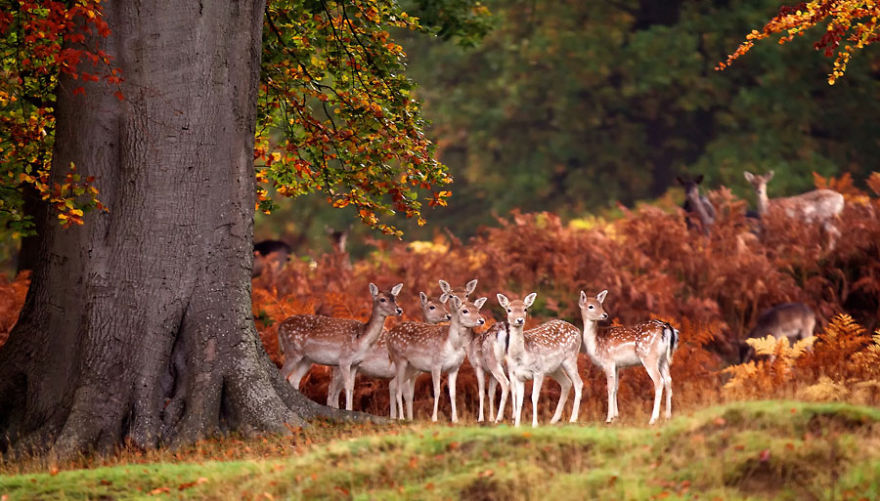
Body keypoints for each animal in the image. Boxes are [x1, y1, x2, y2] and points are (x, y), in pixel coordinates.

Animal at [276, 282, 404, 410]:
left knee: (294, 379)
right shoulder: (344, 359)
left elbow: (352, 387)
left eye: (395, 298)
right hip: (293, 351)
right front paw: (348, 409)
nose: (399, 310)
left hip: (307, 359)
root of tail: (280, 327)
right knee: (283, 374)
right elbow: (347, 386)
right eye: (382, 299)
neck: (361, 340)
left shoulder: (355, 363)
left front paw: (350, 409)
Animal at [326, 292, 454, 416]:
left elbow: (405, 393)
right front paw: (404, 418)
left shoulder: (412, 375)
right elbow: (406, 394)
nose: (448, 315)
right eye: (432, 307)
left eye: (444, 305)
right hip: (340, 366)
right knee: (332, 390)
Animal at [502, 292, 584, 426]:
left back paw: (573, 419)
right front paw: (517, 425)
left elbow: (534, 397)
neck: (521, 357)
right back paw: (554, 419)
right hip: (554, 368)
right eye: (509, 309)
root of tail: (577, 330)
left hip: (570, 358)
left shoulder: (538, 371)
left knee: (578, 383)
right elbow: (519, 400)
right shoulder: (517, 375)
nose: (520, 320)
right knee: (567, 383)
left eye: (525, 309)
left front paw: (535, 424)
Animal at [584, 292, 680, 424]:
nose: (604, 315)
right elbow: (616, 387)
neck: (595, 342)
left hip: (649, 356)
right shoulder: (617, 365)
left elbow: (609, 387)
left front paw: (609, 418)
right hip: (663, 359)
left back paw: (653, 419)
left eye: (600, 305)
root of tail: (667, 328)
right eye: (591, 306)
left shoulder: (608, 361)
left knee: (659, 381)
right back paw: (668, 416)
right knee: (668, 380)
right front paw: (616, 416)